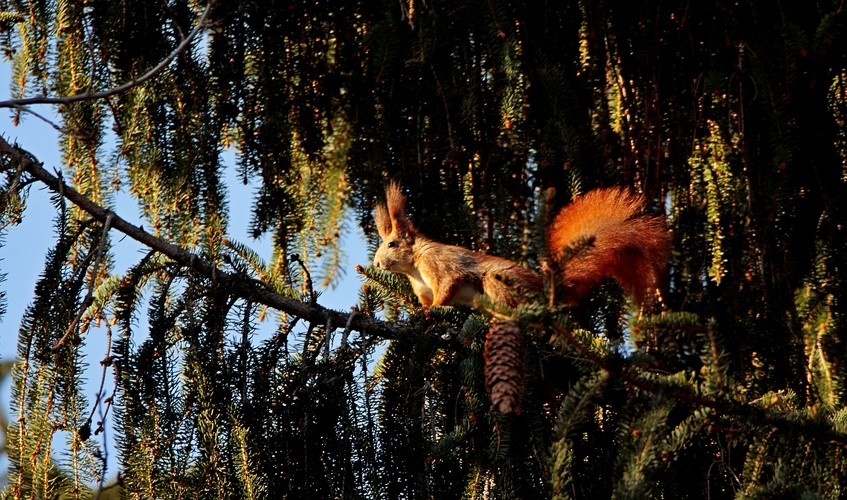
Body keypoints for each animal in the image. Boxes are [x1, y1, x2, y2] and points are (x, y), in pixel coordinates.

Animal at [372, 184, 668, 308]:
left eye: (392, 243)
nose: (375, 263)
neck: (413, 267)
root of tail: (546, 291)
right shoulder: (421, 287)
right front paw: (418, 313)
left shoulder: (440, 265)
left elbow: (448, 287)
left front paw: (433, 310)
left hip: (497, 281)